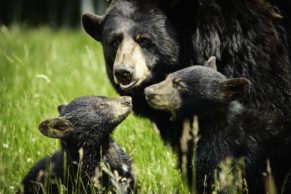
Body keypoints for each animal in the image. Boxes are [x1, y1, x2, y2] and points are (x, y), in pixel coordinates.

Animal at [145, 56, 291, 193]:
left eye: (179, 84)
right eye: (167, 77)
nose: (148, 92)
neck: (209, 124)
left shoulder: (223, 151)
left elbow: (215, 181)